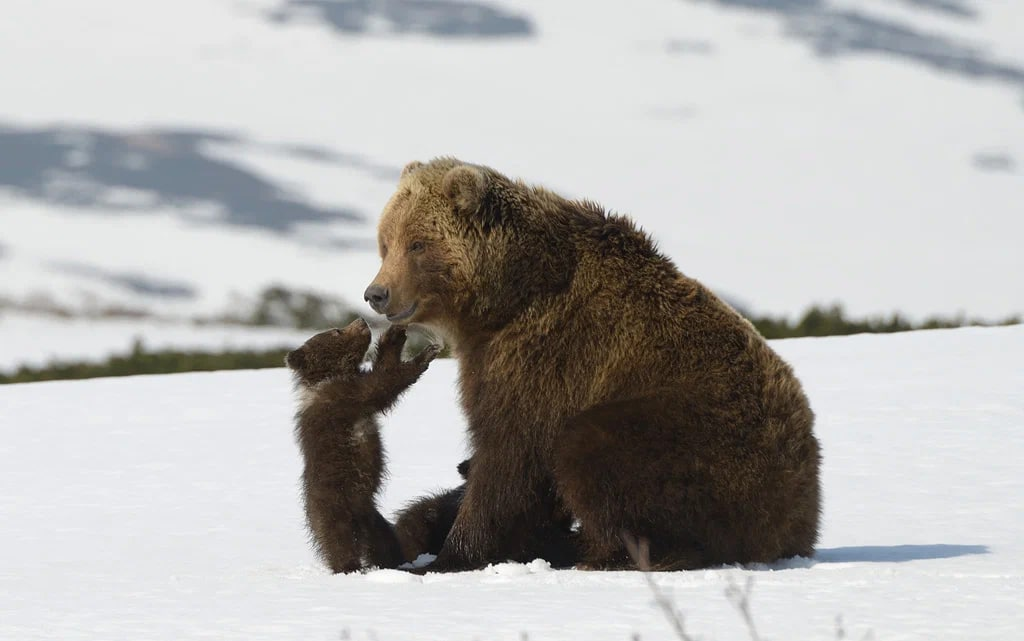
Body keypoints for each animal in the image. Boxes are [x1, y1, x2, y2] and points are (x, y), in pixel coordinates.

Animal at [364, 158, 819, 569]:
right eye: (385, 242)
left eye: (417, 243)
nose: (376, 293)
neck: (503, 298)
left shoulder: (545, 356)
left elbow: (509, 456)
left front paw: (450, 555)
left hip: (705, 438)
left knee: (591, 449)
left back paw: (610, 554)